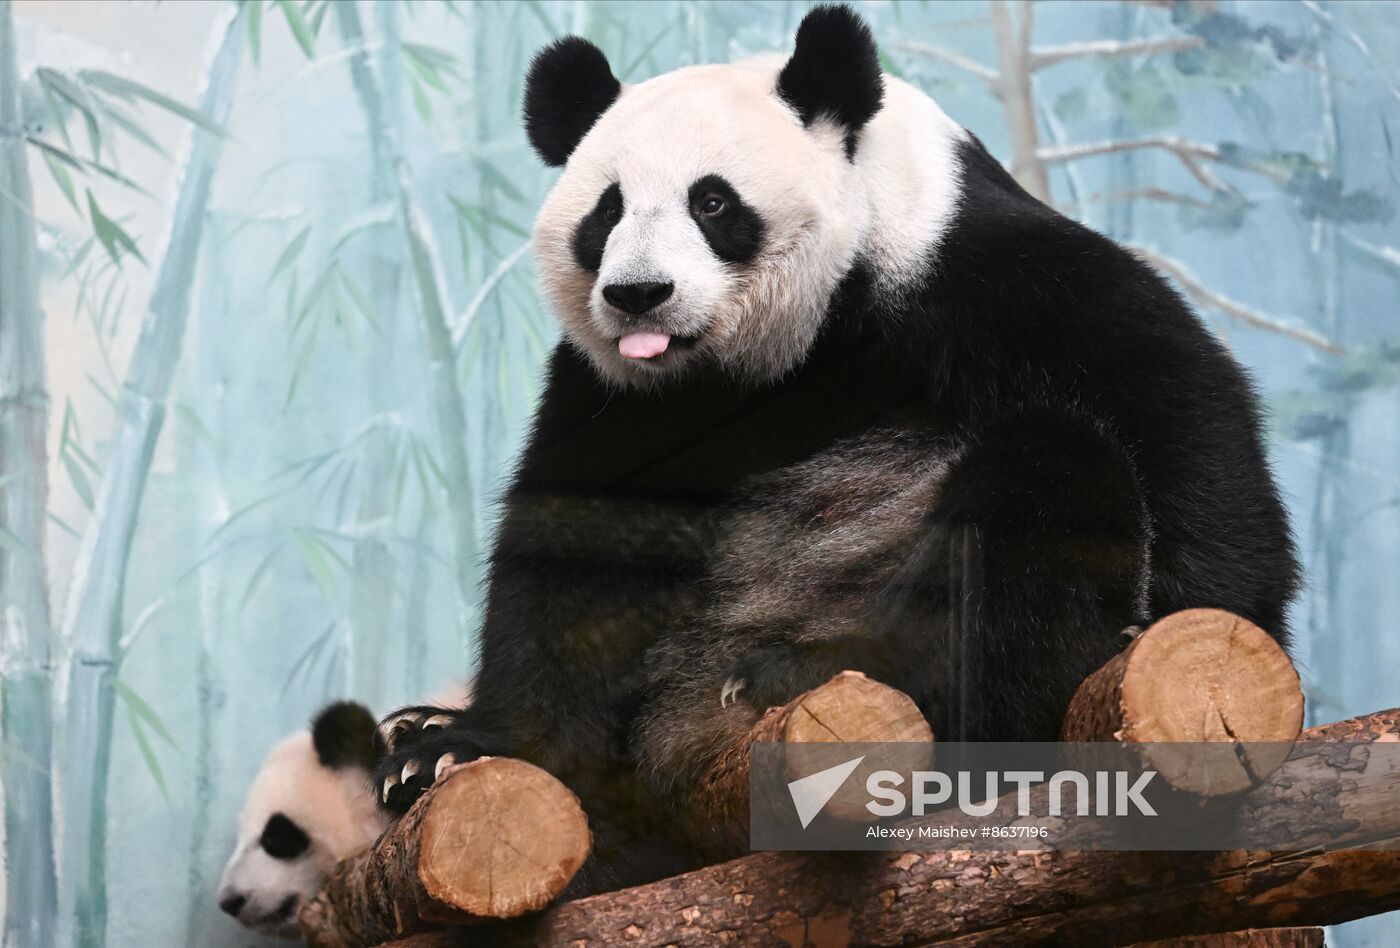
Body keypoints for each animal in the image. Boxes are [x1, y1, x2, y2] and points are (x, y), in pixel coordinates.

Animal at [375, 3, 1299, 896]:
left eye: (713, 204)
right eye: (607, 210)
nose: (640, 295)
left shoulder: (971, 269)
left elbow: (1176, 405)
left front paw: (1198, 629)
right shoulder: (619, 394)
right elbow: (574, 553)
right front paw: (460, 749)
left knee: (1052, 483)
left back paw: (820, 676)